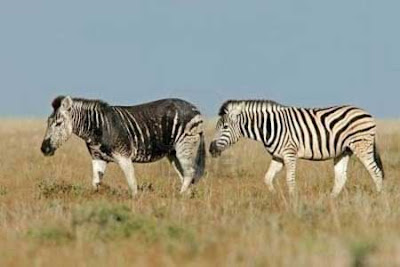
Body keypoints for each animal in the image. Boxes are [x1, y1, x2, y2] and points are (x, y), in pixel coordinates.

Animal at [39, 96, 206, 195]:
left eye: (58, 123)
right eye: (48, 122)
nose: (44, 149)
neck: (99, 128)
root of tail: (194, 108)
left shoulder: (124, 156)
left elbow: (132, 183)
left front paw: (135, 203)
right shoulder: (98, 158)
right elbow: (96, 182)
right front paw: (96, 198)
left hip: (185, 146)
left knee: (189, 172)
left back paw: (180, 196)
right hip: (173, 153)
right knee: (184, 174)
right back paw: (186, 196)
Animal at [209, 100, 384, 197]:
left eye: (225, 127)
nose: (211, 149)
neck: (269, 127)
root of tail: (367, 113)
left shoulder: (289, 153)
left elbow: (290, 179)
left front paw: (293, 201)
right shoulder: (278, 156)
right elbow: (267, 178)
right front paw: (275, 196)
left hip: (361, 145)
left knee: (375, 172)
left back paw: (380, 197)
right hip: (343, 151)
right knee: (341, 177)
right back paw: (331, 200)